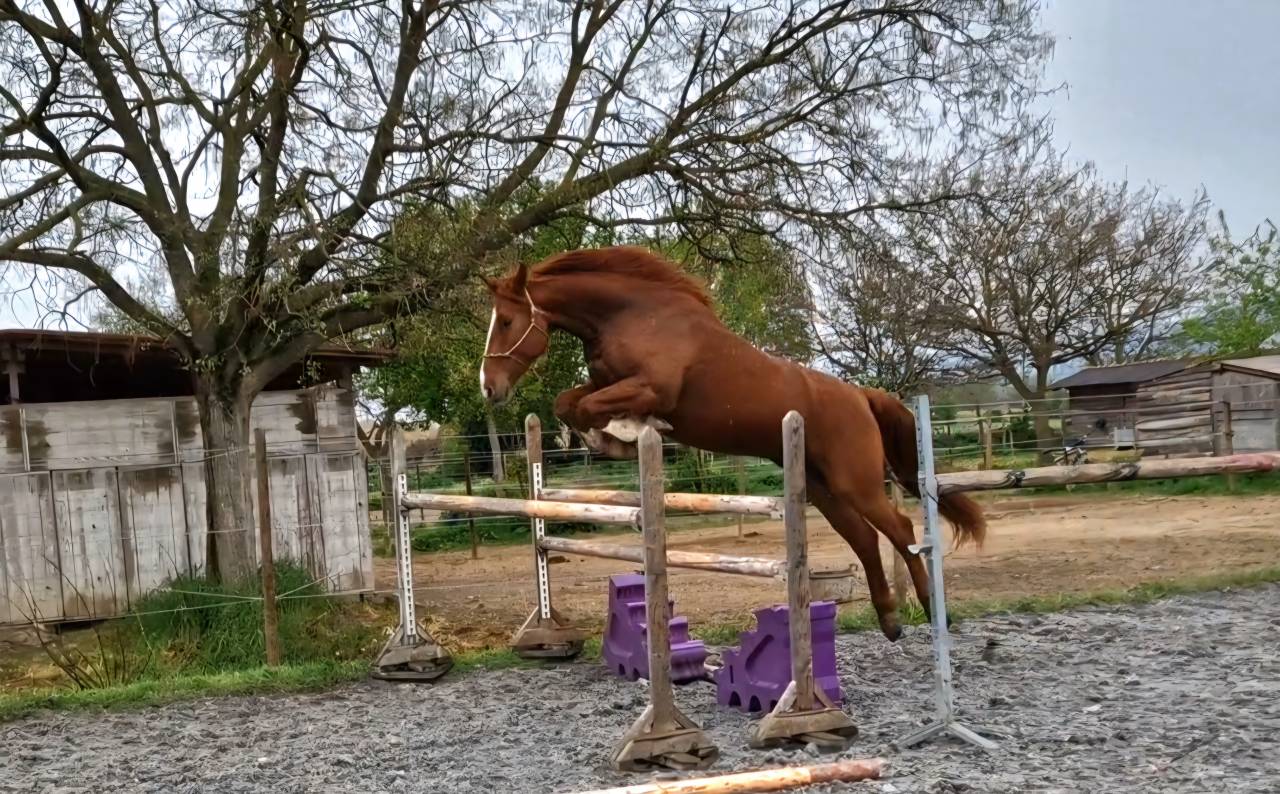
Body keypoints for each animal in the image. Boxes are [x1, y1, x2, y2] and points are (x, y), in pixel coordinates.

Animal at [479, 245, 986, 641]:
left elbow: (588, 407)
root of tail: (860, 395)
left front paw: (627, 434)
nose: (489, 387)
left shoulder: (650, 388)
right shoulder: (606, 383)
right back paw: (890, 620)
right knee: (863, 537)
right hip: (821, 487)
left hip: (854, 481)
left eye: (506, 321)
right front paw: (609, 438)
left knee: (899, 529)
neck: (632, 315)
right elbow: (569, 402)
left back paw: (931, 609)